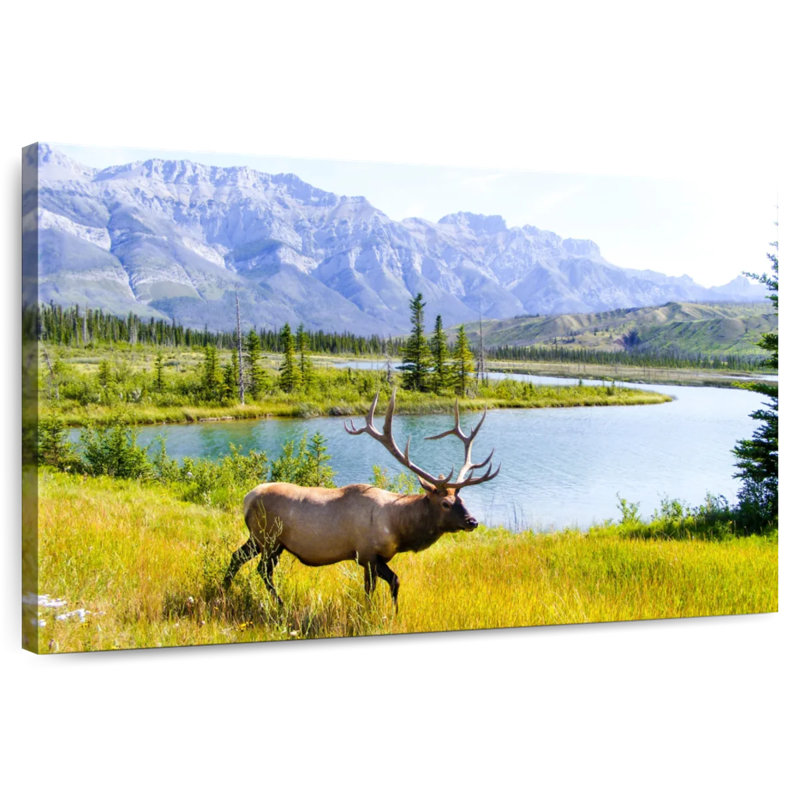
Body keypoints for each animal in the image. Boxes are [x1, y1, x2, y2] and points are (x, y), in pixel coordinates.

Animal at [222, 387, 499, 611]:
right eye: (445, 503)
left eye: (461, 499)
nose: (473, 521)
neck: (399, 528)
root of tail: (247, 498)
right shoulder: (367, 554)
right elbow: (374, 588)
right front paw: (370, 613)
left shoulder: (377, 558)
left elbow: (394, 582)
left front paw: (393, 613)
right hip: (268, 538)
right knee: (263, 570)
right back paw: (279, 604)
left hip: (262, 540)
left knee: (237, 558)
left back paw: (225, 591)